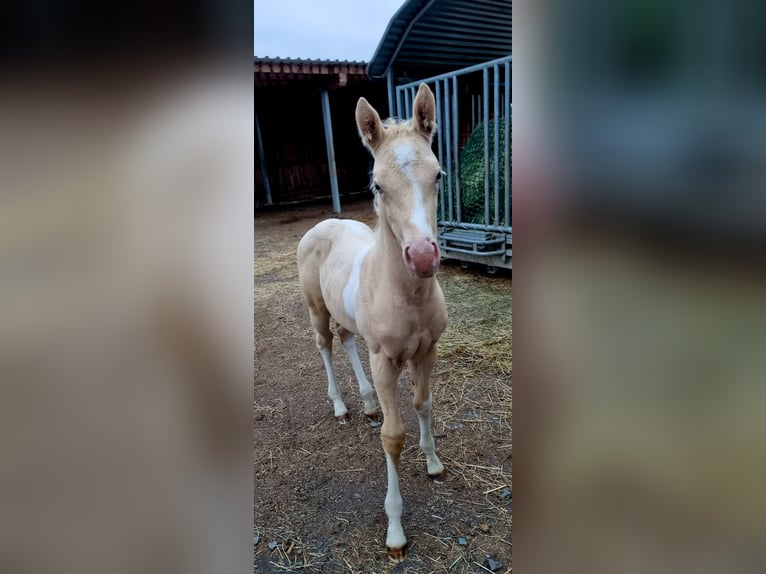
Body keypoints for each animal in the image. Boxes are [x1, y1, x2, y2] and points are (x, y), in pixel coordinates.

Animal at [296, 84, 450, 564]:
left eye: (438, 175)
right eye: (377, 185)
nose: (423, 257)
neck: (408, 296)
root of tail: (325, 222)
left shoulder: (428, 350)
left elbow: (423, 404)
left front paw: (433, 463)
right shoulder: (384, 359)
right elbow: (393, 436)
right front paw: (396, 532)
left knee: (346, 340)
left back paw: (365, 401)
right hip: (316, 308)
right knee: (325, 344)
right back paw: (342, 406)